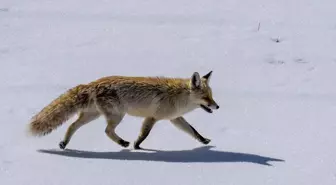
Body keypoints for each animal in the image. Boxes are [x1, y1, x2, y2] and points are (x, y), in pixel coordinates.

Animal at [27, 71, 219, 150]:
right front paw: (137, 145)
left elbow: (193, 131)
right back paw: (123, 143)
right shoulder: (152, 117)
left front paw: (204, 141)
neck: (178, 97)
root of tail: (92, 83)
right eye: (205, 98)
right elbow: (144, 134)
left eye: (211, 96)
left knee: (72, 126)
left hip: (92, 115)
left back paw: (64, 143)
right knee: (107, 131)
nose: (217, 106)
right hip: (117, 115)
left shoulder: (175, 118)